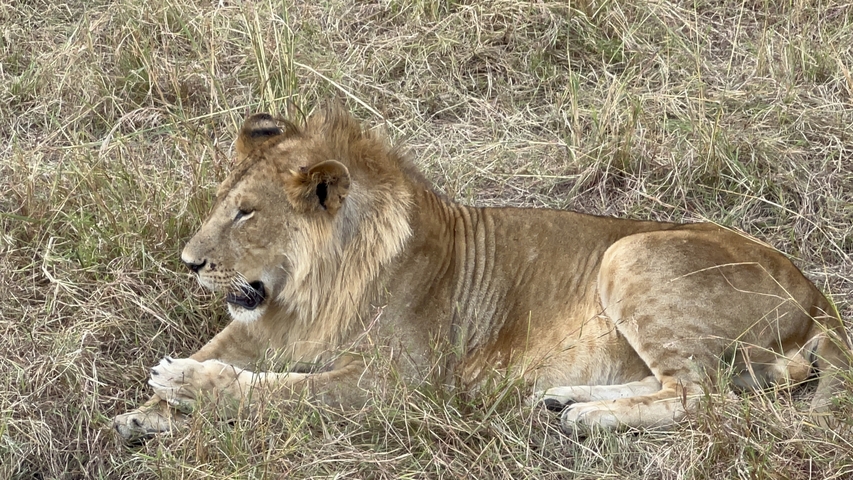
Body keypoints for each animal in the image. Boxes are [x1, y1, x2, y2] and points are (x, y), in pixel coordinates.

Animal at [113, 106, 850, 441]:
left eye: (246, 213)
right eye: (222, 203)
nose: (188, 262)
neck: (317, 285)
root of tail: (817, 295)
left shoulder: (393, 385)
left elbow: (280, 392)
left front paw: (182, 384)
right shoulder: (268, 320)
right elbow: (226, 345)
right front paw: (142, 414)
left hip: (631, 254)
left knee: (699, 395)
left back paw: (583, 415)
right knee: (680, 382)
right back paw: (563, 400)